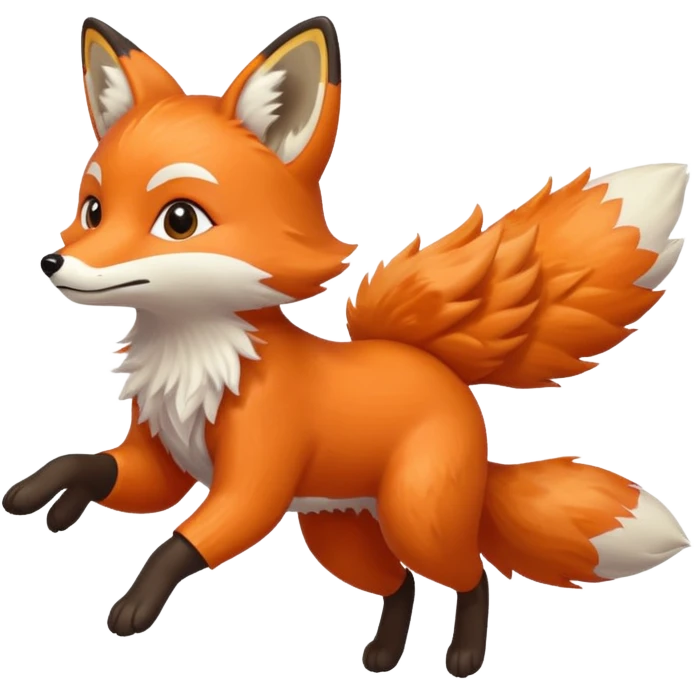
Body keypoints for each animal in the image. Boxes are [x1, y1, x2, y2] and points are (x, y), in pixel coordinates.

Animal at [3, 14, 691, 678]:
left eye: (179, 220)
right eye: (92, 209)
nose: (52, 262)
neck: (198, 359)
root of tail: (450, 381)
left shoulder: (255, 478)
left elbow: (181, 544)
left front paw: (134, 606)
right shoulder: (163, 455)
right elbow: (96, 467)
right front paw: (42, 498)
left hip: (416, 520)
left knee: (471, 577)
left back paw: (465, 659)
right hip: (340, 532)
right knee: (401, 586)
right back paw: (383, 655)